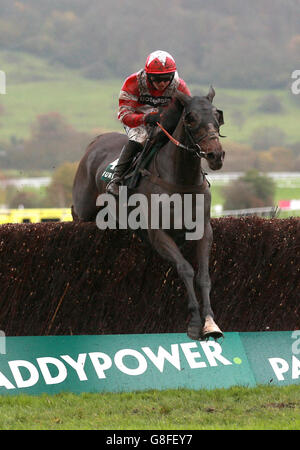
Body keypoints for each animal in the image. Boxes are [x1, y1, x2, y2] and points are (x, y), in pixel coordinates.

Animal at [72, 87, 225, 342]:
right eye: (190, 118)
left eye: (217, 116)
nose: (216, 155)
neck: (180, 180)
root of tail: (96, 141)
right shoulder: (158, 233)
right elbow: (186, 269)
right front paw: (195, 323)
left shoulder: (203, 230)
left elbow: (204, 276)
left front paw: (210, 323)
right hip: (81, 212)